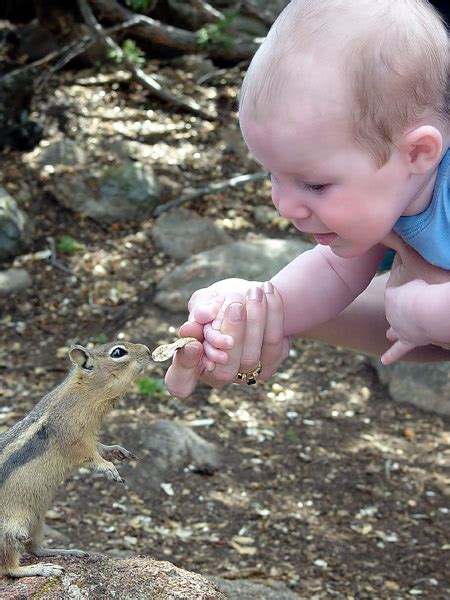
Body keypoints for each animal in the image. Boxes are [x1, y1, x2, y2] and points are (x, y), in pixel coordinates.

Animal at [0, 340, 151, 580]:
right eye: (118, 352)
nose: (148, 350)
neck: (82, 394)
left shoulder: (91, 436)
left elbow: (101, 448)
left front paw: (117, 451)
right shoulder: (76, 439)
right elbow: (89, 456)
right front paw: (108, 468)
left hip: (37, 518)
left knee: (36, 548)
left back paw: (65, 551)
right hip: (12, 528)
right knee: (8, 567)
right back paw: (39, 569)